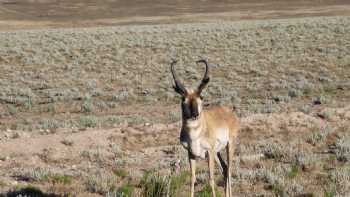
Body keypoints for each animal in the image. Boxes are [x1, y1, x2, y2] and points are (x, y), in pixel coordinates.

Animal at [171, 59, 239, 196]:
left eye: (201, 97)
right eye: (183, 98)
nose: (195, 114)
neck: (195, 135)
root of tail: (230, 112)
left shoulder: (209, 152)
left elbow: (211, 179)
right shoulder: (191, 154)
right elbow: (192, 179)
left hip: (229, 146)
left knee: (229, 169)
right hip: (217, 152)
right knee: (225, 168)